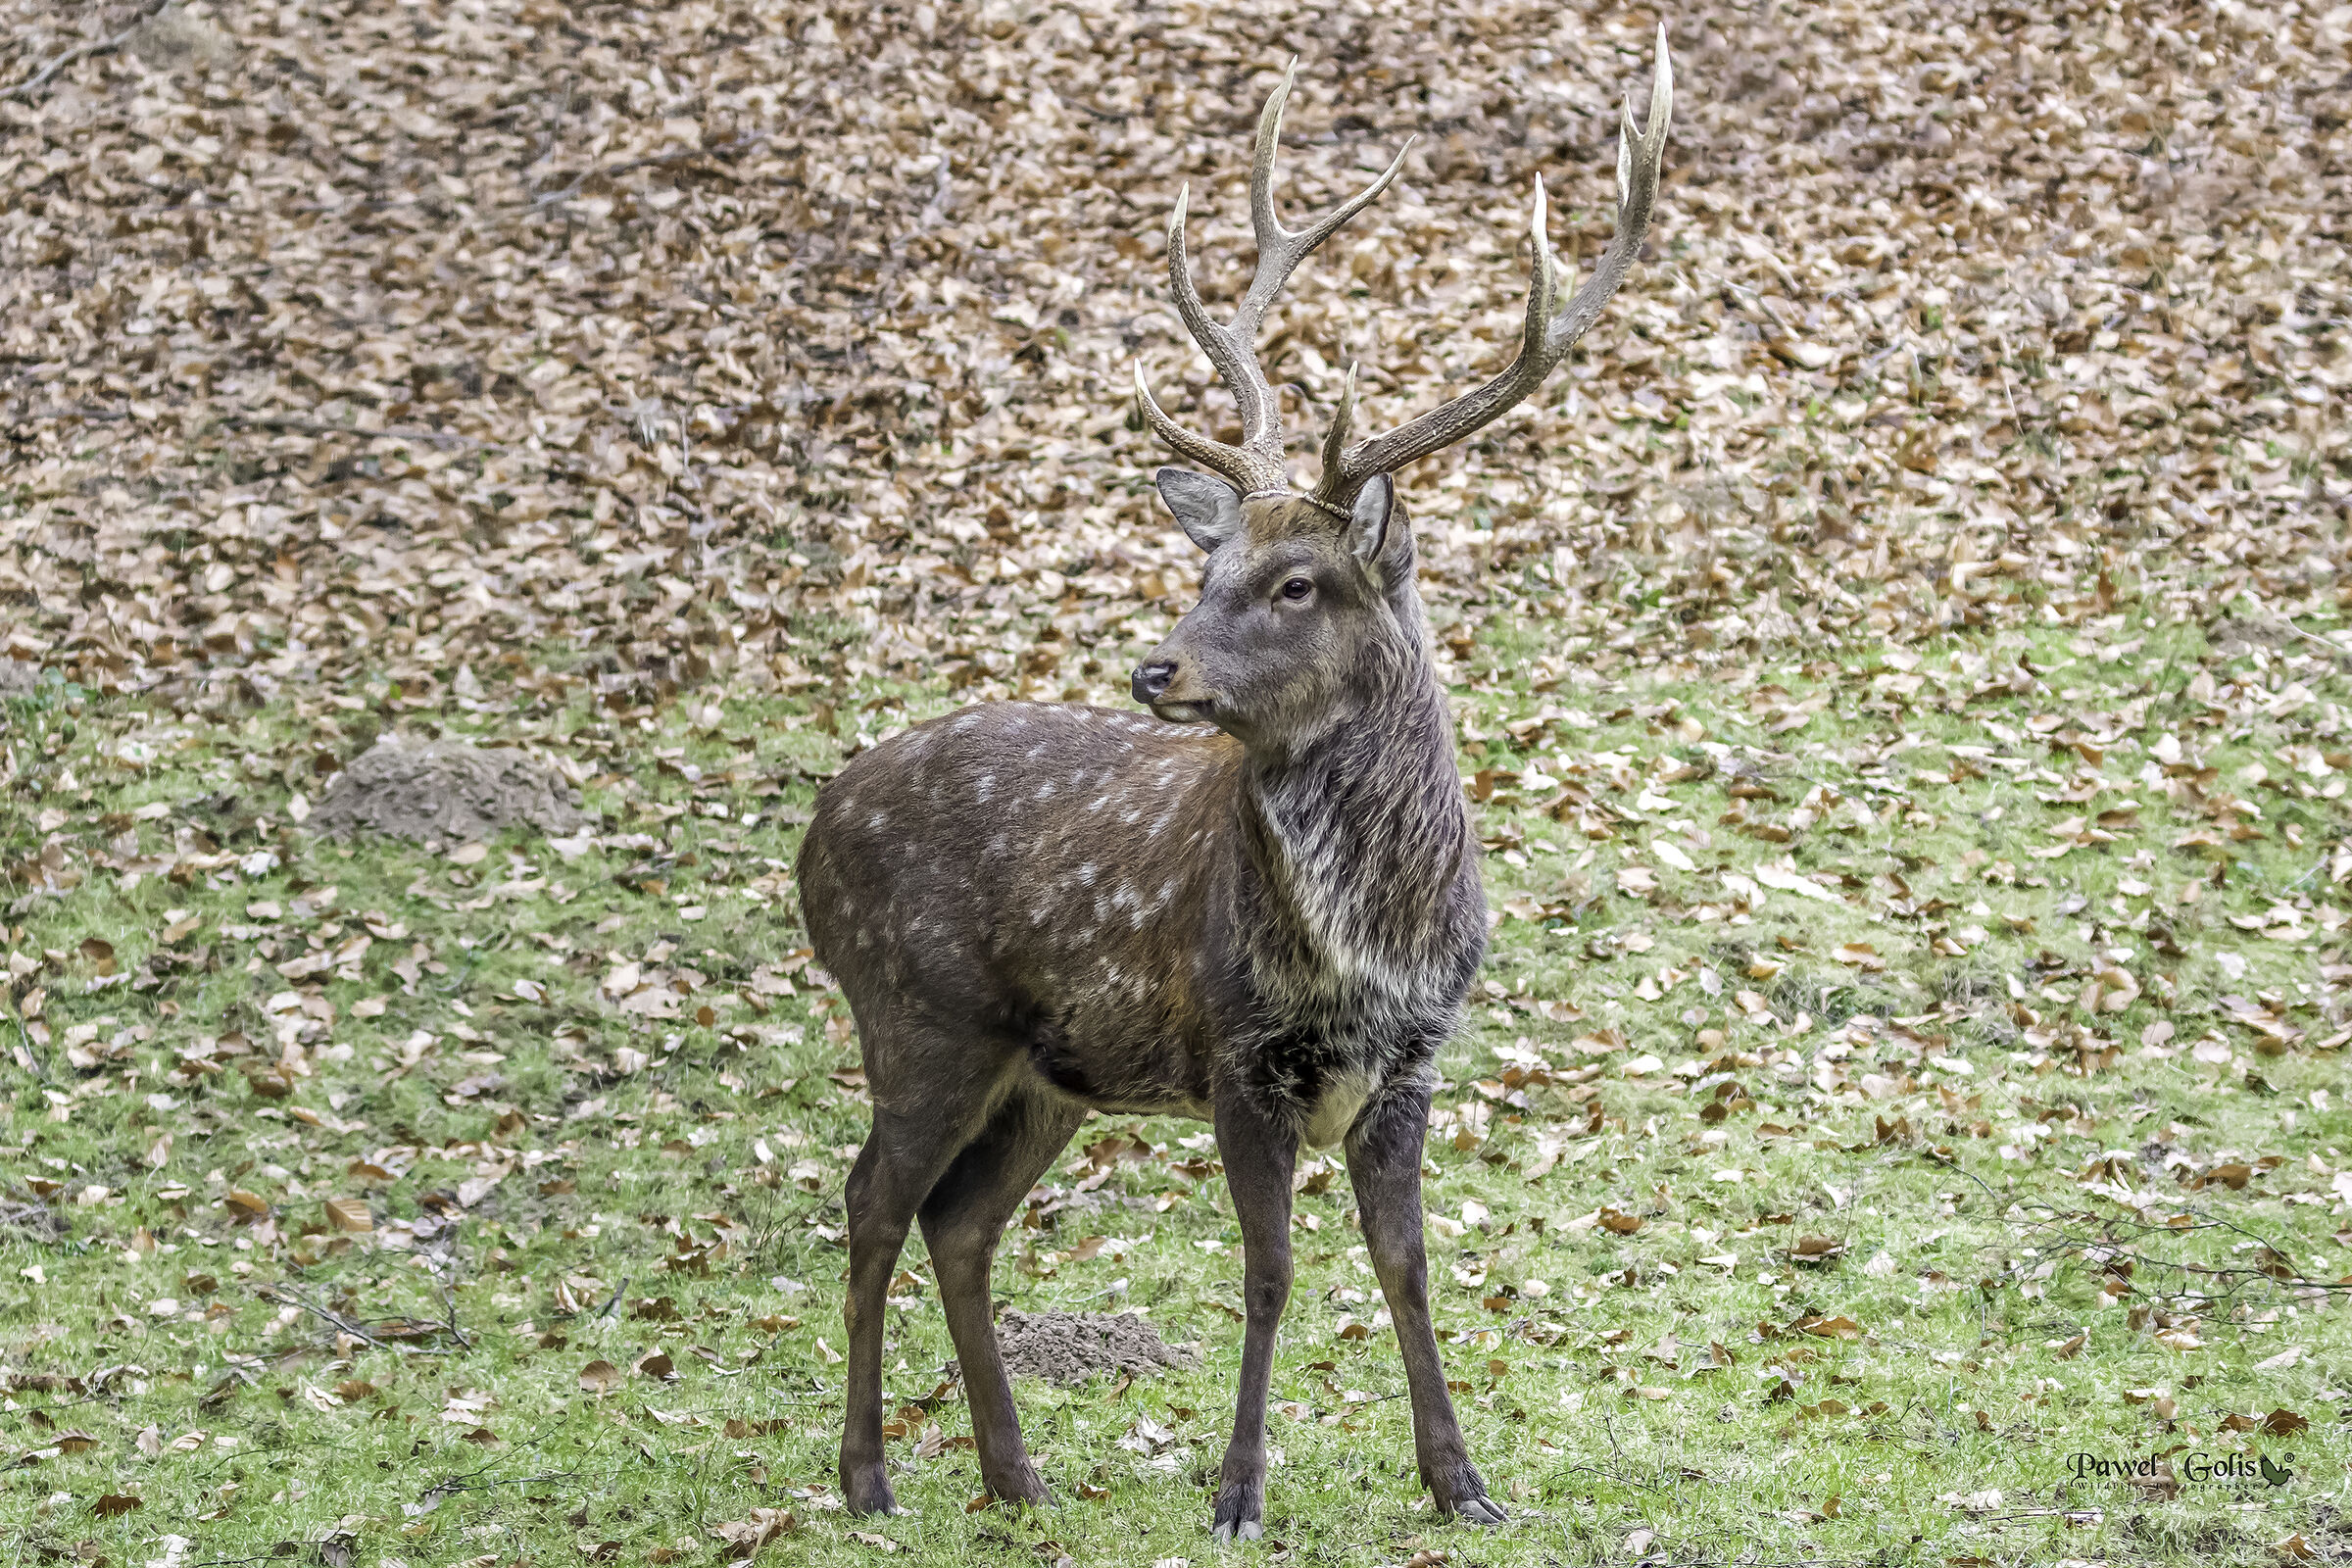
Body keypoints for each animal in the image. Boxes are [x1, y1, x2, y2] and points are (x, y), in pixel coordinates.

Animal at [796, 31, 1671, 1541]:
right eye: (1210, 567)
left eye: (1297, 580)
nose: (1159, 667)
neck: (1364, 949)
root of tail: (805, 840)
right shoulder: (1240, 1057)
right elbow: (1269, 1277)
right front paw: (1239, 1492)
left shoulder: (1413, 1063)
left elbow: (1409, 1267)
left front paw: (1461, 1484)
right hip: (919, 1017)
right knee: (868, 1204)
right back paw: (868, 1480)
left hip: (1047, 1072)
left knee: (958, 1219)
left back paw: (1016, 1478)